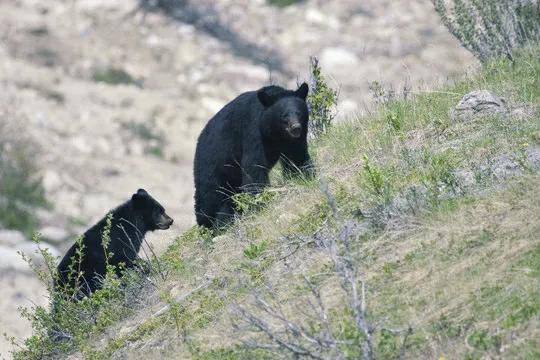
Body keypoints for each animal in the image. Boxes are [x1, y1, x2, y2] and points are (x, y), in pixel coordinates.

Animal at [194, 82, 314, 226]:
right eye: (284, 116)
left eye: (299, 113)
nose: (295, 128)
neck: (274, 133)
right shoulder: (253, 132)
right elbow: (254, 168)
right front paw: (259, 202)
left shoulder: (293, 140)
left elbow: (297, 156)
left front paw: (305, 176)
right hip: (213, 166)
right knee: (211, 197)